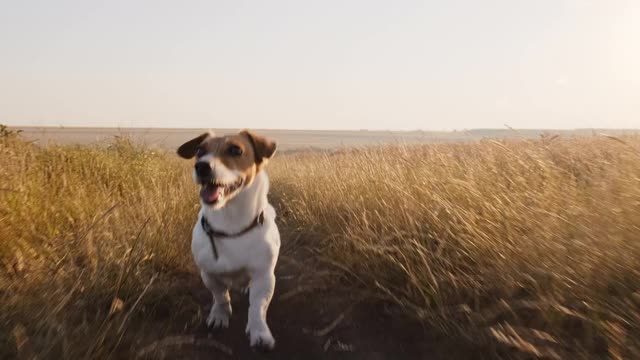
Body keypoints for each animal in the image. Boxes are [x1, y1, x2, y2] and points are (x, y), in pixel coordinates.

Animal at [179, 129, 282, 348]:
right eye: (200, 151)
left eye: (235, 150)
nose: (201, 166)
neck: (231, 226)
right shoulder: (208, 273)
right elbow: (220, 296)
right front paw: (220, 315)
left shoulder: (264, 276)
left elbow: (257, 307)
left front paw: (259, 331)